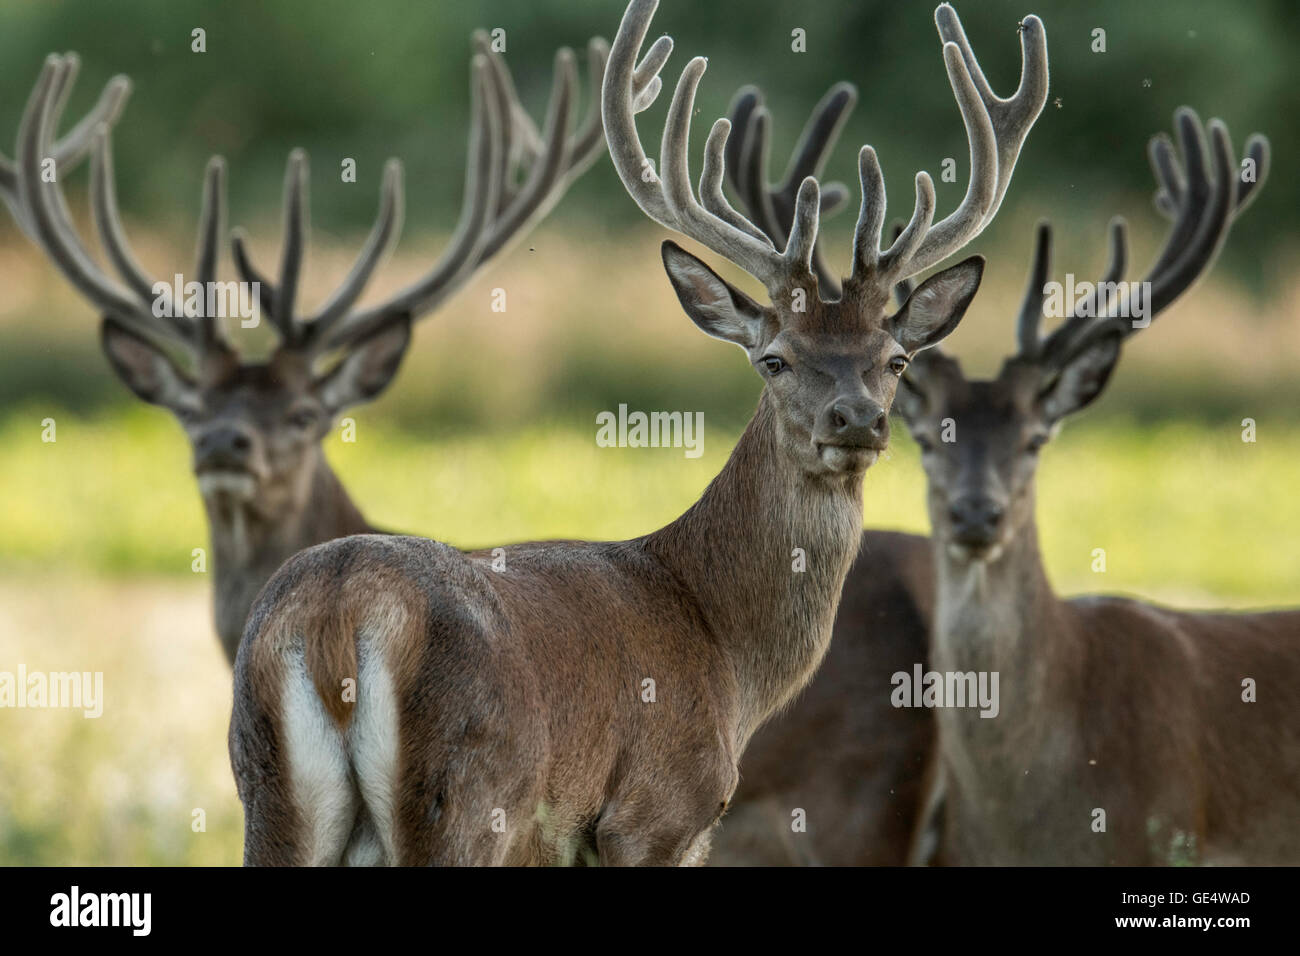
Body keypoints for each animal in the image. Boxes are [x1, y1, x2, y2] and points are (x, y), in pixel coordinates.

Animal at [226, 0, 1046, 866]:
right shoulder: (655, 814)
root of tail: (339, 609)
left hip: (270, 795)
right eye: (775, 359)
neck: (723, 647)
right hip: (464, 800)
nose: (856, 417)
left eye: (894, 359)